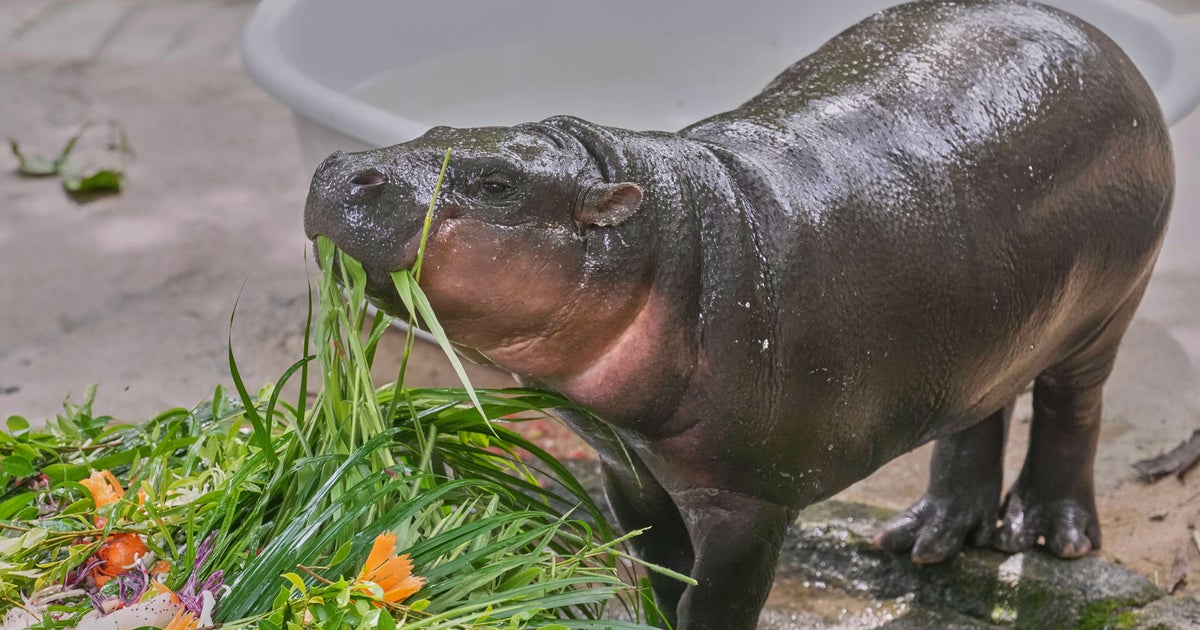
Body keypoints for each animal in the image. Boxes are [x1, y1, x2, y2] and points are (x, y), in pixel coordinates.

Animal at [303, 0, 1174, 627]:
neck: (668, 241)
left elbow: (714, 599)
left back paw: (1049, 534)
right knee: (979, 412)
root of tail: (1097, 35)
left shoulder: (748, 502)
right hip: (991, 327)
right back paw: (925, 540)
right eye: (435, 129)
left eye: (495, 183)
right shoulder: (625, 465)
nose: (342, 166)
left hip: (1106, 312)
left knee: (1070, 408)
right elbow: (659, 571)